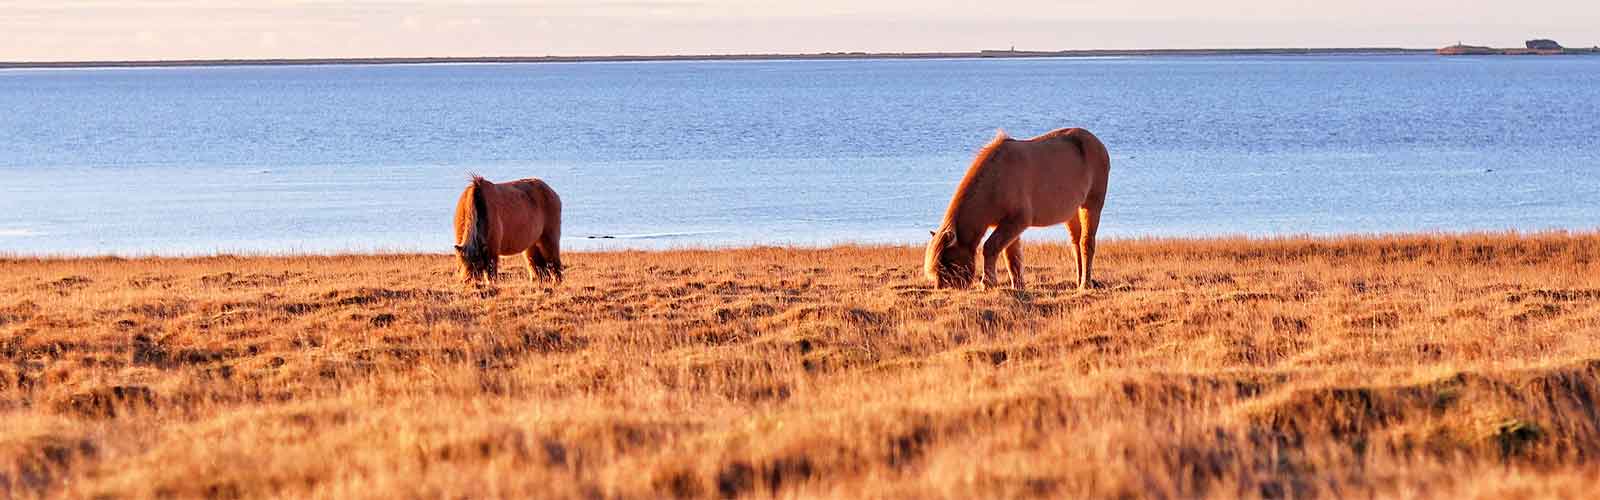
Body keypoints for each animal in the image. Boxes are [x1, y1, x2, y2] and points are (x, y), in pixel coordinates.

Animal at [928, 129, 1113, 291]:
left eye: (948, 263)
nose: (943, 289)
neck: (996, 179)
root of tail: (1099, 145)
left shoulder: (1017, 221)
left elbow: (990, 247)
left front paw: (988, 283)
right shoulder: (1007, 225)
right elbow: (1012, 257)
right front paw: (1017, 286)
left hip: (1091, 205)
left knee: (1086, 243)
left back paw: (1085, 284)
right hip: (1073, 213)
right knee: (1076, 244)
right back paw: (1079, 280)